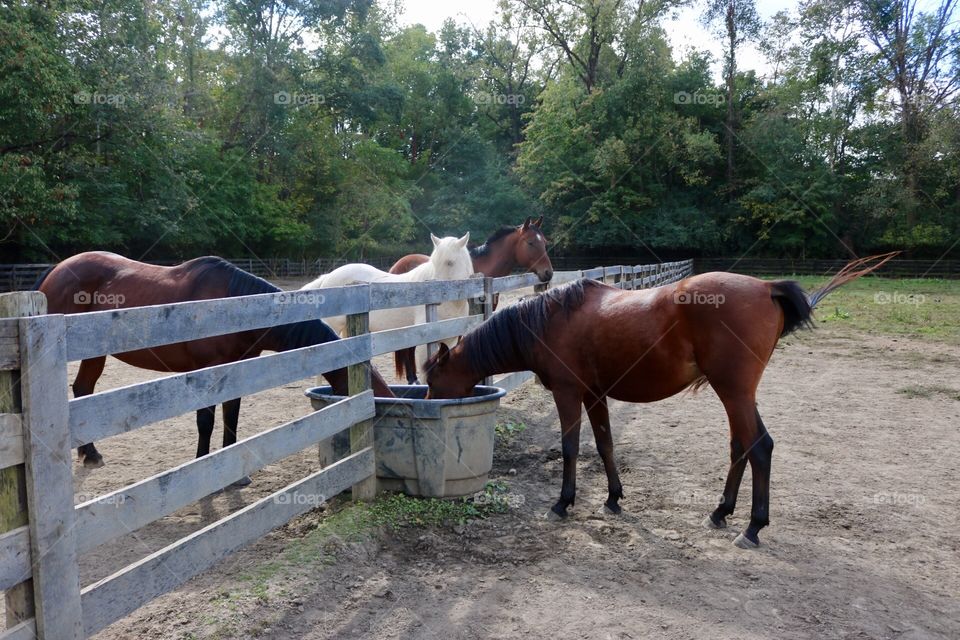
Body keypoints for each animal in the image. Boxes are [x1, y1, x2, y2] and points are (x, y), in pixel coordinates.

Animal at [36, 252, 395, 477]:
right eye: (372, 389)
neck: (231, 310)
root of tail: (55, 273)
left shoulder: (236, 372)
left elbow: (231, 417)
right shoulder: (206, 374)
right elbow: (206, 421)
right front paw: (203, 462)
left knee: (83, 389)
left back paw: (90, 454)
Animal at [302, 233, 474, 380]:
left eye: (450, 262)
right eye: (433, 263)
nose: (435, 294)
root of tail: (328, 277)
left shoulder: (451, 341)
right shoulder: (424, 345)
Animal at [424, 254, 897, 549]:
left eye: (433, 377)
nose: (426, 403)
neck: (550, 320)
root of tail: (766, 288)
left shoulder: (568, 393)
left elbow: (571, 447)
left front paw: (563, 502)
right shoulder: (595, 395)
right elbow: (605, 445)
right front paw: (613, 498)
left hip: (733, 391)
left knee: (759, 447)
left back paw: (752, 528)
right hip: (738, 394)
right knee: (742, 446)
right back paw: (720, 512)